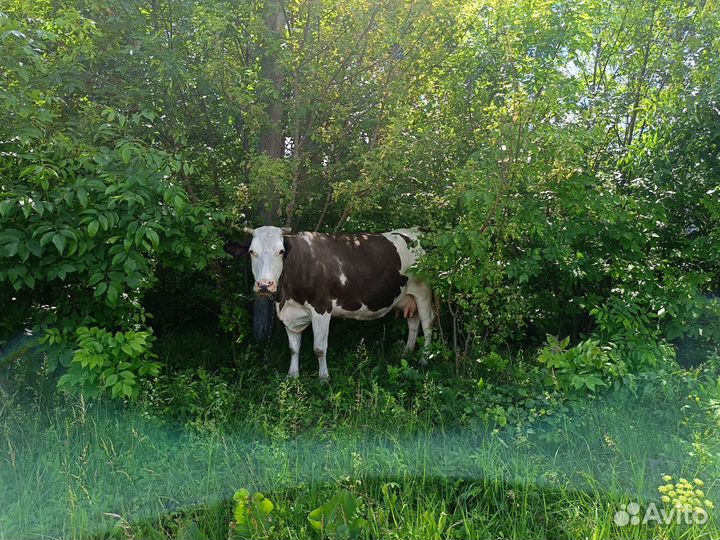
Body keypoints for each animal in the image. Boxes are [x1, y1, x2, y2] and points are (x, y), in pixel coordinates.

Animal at [224, 226, 434, 380]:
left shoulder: (322, 308)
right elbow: (293, 348)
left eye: (281, 251)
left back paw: (424, 360)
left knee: (427, 325)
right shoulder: (290, 312)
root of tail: (416, 231)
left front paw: (324, 378)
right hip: (407, 297)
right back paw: (406, 353)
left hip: (423, 291)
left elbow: (319, 348)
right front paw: (292, 376)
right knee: (413, 323)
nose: (265, 285)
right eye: (252, 252)